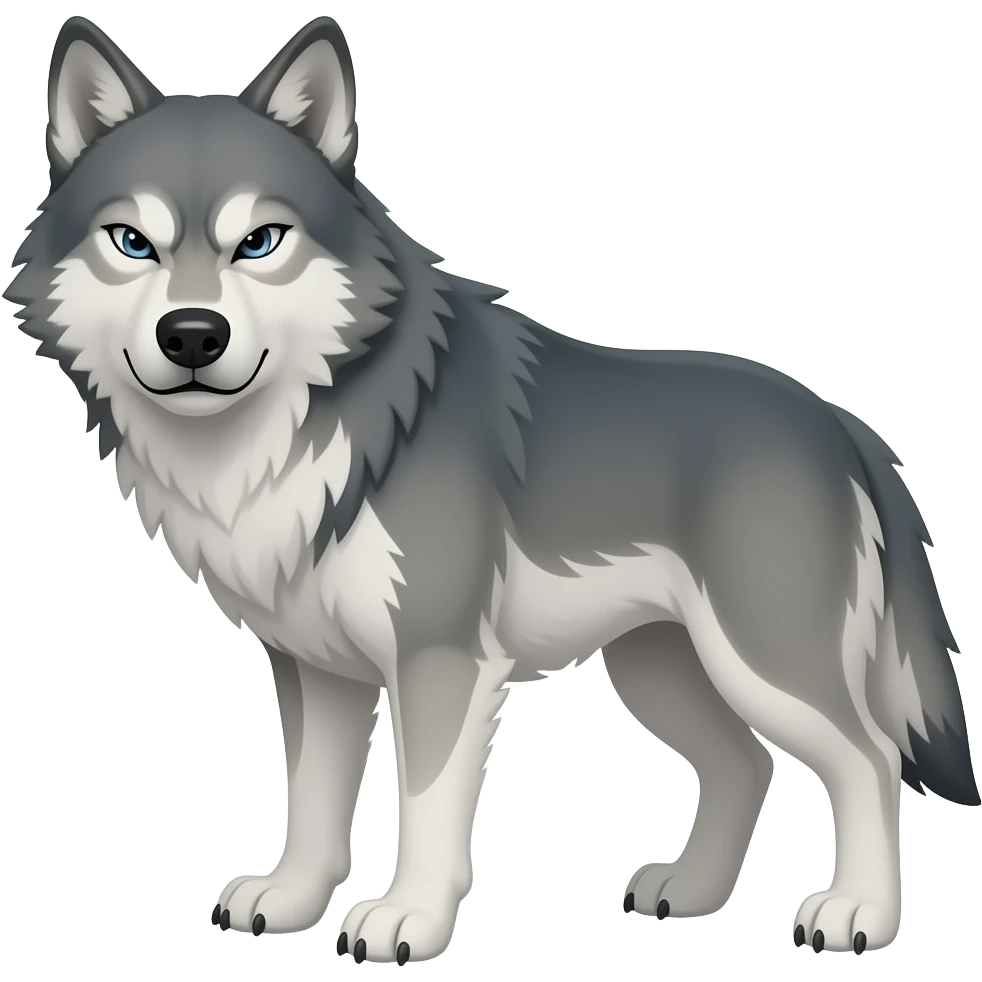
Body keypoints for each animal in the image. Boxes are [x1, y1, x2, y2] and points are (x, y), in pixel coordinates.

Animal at [4, 12, 977, 964]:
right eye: (133, 242)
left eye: (260, 242)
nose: (193, 336)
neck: (294, 437)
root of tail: (843, 425)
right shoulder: (317, 668)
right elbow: (312, 802)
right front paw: (290, 901)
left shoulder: (441, 659)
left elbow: (426, 805)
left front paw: (406, 919)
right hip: (659, 670)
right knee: (748, 764)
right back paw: (693, 893)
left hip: (763, 663)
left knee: (868, 759)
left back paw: (856, 914)